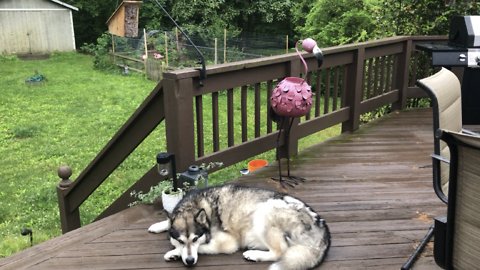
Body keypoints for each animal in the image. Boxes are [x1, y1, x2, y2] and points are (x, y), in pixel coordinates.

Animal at [149, 185, 330, 268]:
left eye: (195, 239)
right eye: (181, 240)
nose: (190, 261)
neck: (200, 207)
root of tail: (322, 229)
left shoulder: (227, 243)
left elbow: (203, 247)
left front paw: (173, 252)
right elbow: (168, 222)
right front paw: (158, 226)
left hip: (264, 211)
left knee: (280, 252)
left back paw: (254, 255)